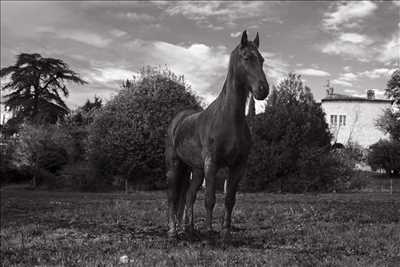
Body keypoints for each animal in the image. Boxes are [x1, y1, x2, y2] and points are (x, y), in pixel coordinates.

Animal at [164, 31, 270, 241]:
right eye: (247, 57)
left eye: (262, 60)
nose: (263, 90)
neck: (229, 118)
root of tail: (178, 120)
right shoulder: (211, 163)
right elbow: (210, 199)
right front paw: (209, 232)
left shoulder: (238, 166)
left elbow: (229, 199)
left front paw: (225, 232)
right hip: (175, 165)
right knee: (173, 196)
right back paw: (173, 231)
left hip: (195, 170)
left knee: (188, 195)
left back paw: (188, 229)